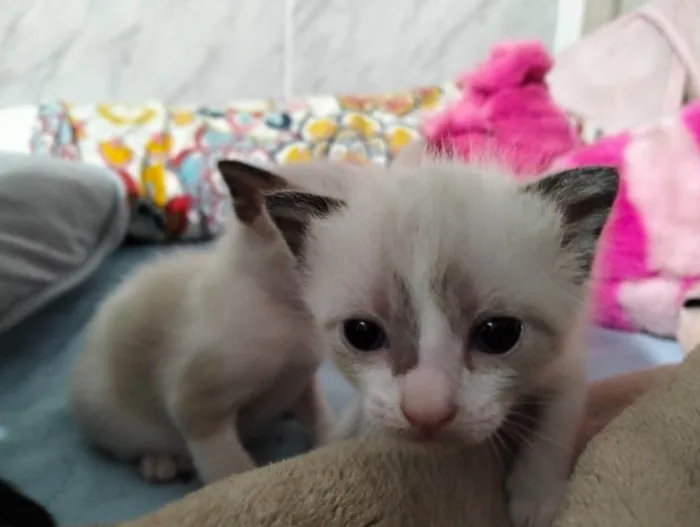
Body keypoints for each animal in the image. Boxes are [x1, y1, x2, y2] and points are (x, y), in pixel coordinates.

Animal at [69, 161, 340, 486]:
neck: (296, 315)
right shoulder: (201, 408)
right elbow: (231, 470)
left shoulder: (303, 378)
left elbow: (321, 419)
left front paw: (332, 445)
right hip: (112, 413)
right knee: (133, 447)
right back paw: (161, 464)